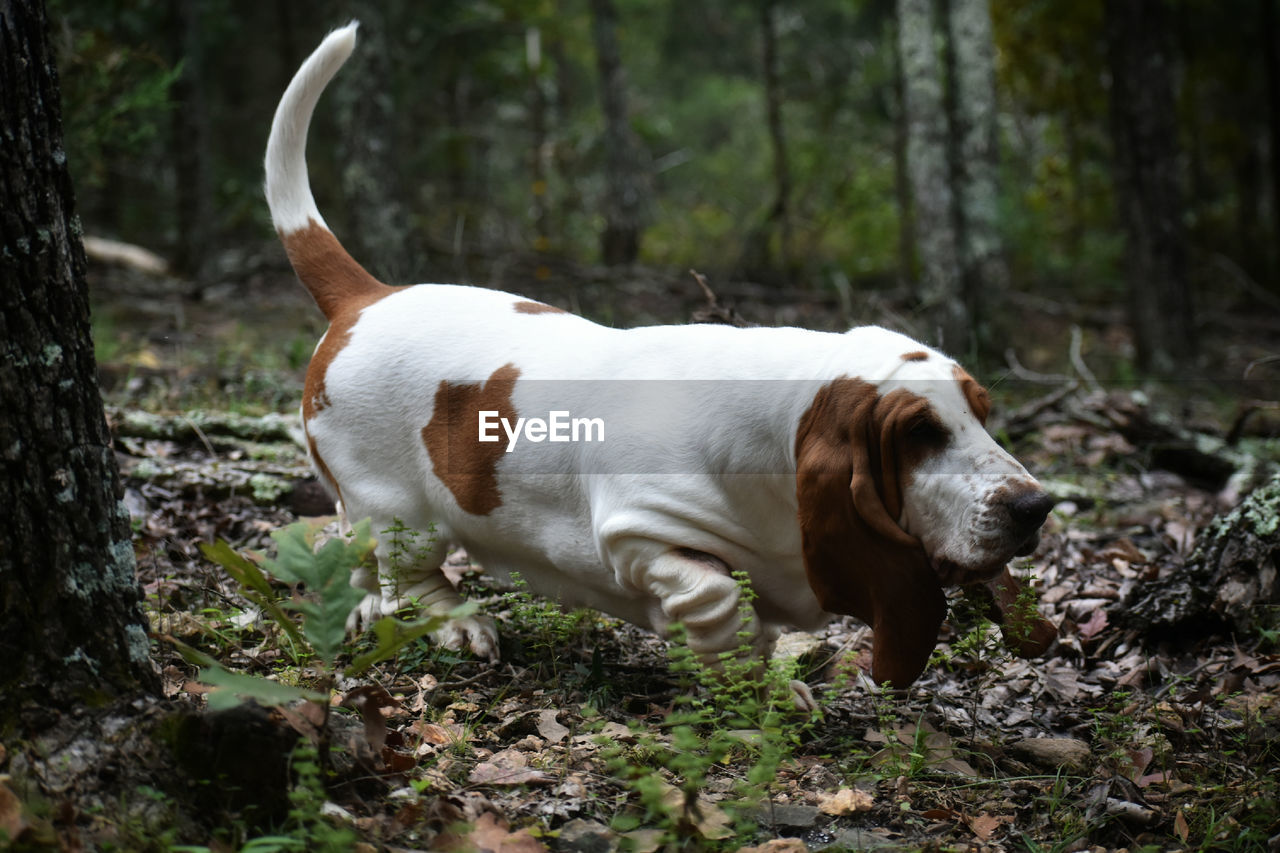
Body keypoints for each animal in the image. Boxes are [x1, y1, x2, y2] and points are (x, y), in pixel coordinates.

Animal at [264, 23, 1054, 686]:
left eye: (983, 412)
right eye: (918, 432)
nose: (1037, 506)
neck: (776, 433)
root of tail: (367, 297)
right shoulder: (640, 531)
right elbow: (716, 595)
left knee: (360, 569)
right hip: (398, 511)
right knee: (404, 572)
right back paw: (458, 627)